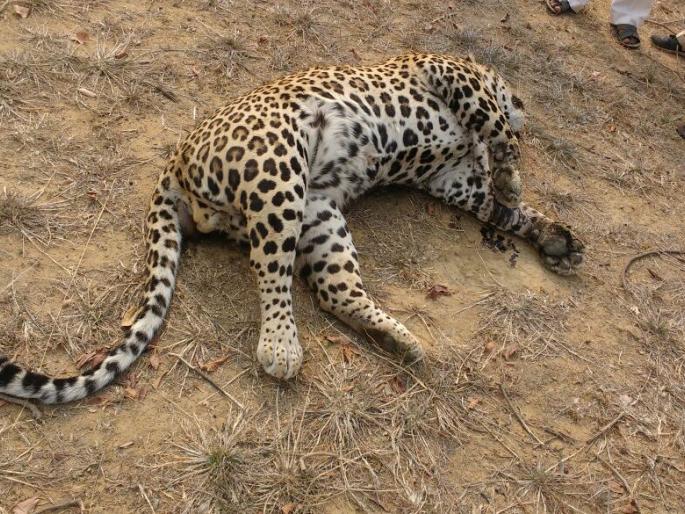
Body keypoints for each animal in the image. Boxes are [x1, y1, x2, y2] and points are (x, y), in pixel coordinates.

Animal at [0, 53, 584, 405]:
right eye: (517, 92)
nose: (527, 104)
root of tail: (174, 161)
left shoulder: (452, 180)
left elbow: (500, 205)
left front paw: (557, 238)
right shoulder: (448, 74)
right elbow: (500, 133)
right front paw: (513, 178)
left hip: (319, 214)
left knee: (335, 292)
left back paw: (399, 342)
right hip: (279, 172)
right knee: (271, 272)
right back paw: (281, 347)